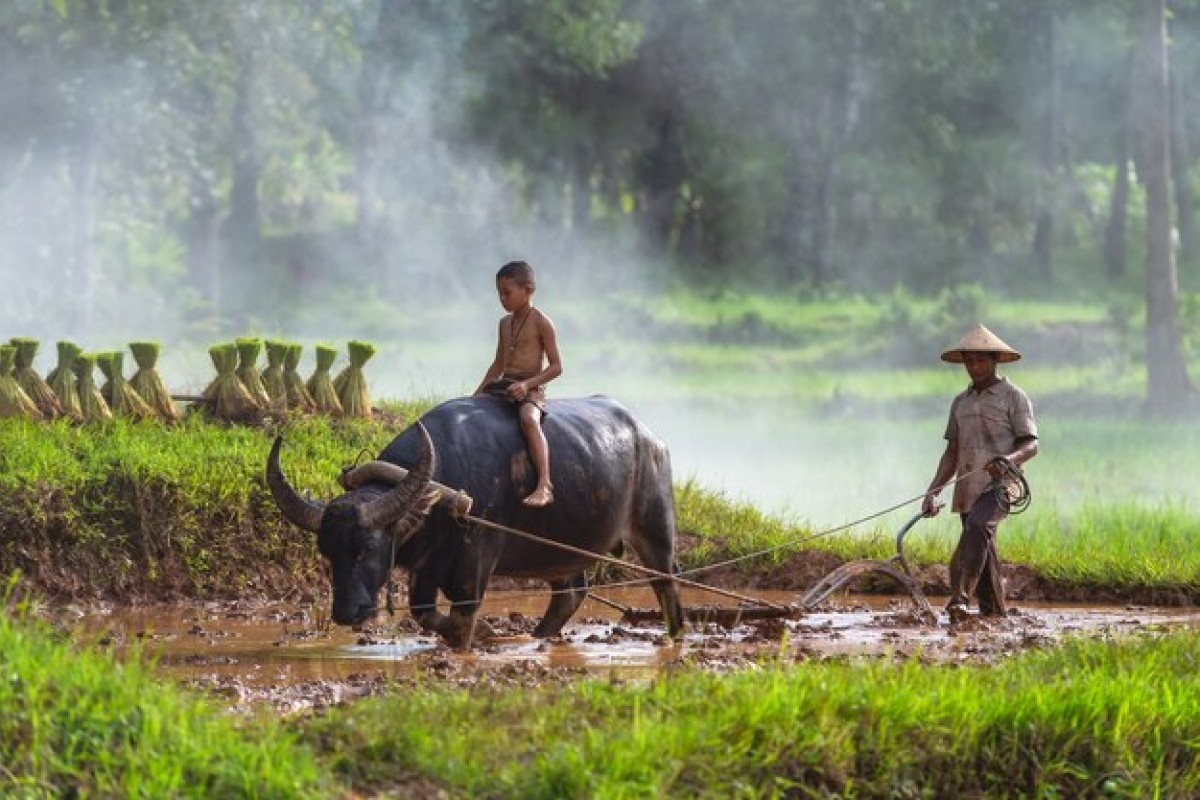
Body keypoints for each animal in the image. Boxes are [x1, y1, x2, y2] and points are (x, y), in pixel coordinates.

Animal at [270, 393, 686, 652]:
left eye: (367, 548)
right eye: (327, 552)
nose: (346, 612)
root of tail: (653, 440)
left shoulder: (474, 570)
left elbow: (461, 621)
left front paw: (477, 635)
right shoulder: (426, 567)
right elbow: (423, 613)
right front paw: (484, 634)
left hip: (655, 530)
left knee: (666, 585)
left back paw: (676, 633)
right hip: (558, 550)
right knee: (570, 592)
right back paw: (536, 637)